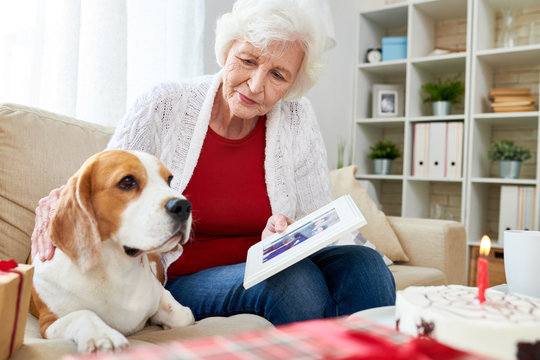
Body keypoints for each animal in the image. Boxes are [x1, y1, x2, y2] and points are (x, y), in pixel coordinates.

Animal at [31, 149, 194, 352]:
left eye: (169, 180)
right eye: (127, 182)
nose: (184, 206)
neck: (116, 271)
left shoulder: (163, 296)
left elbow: (183, 316)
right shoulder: (49, 322)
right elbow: (82, 313)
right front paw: (102, 335)